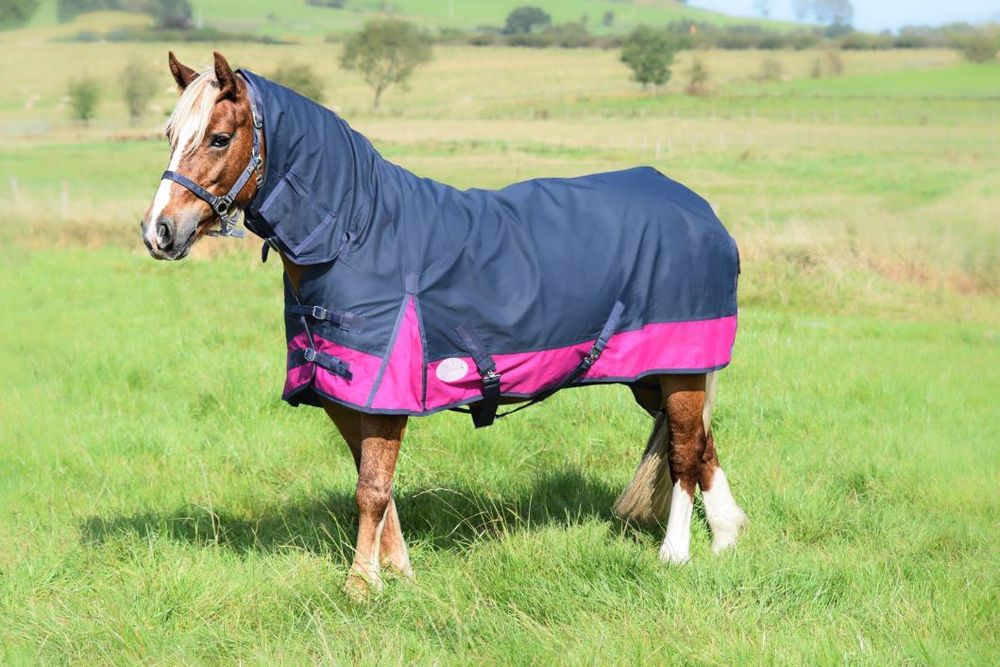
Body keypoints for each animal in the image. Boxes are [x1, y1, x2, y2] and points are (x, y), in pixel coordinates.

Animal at [140, 51, 747, 598]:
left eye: (219, 138)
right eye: (169, 134)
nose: (158, 232)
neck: (358, 233)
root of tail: (700, 209)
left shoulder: (385, 389)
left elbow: (371, 489)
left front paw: (361, 585)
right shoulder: (344, 393)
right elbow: (376, 483)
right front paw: (398, 572)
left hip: (681, 367)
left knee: (684, 453)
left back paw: (675, 554)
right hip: (654, 375)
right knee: (703, 445)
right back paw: (726, 540)